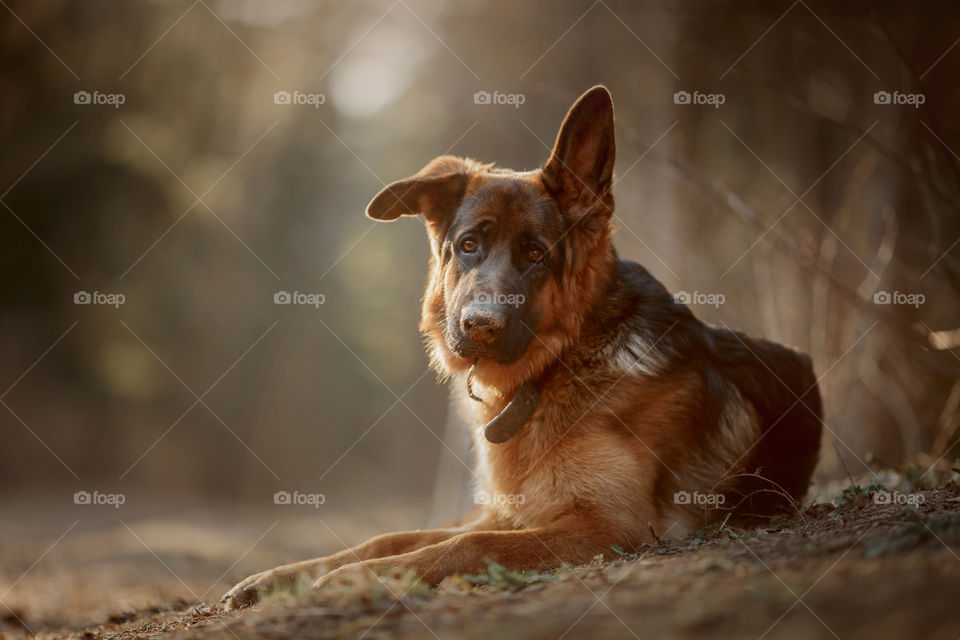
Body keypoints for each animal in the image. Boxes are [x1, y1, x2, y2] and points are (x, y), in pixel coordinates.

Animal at [223, 86, 816, 608]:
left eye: (535, 254)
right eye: (468, 246)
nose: (480, 325)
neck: (554, 369)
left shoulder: (606, 525)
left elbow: (465, 545)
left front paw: (352, 580)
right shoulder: (508, 513)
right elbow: (393, 538)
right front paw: (286, 577)